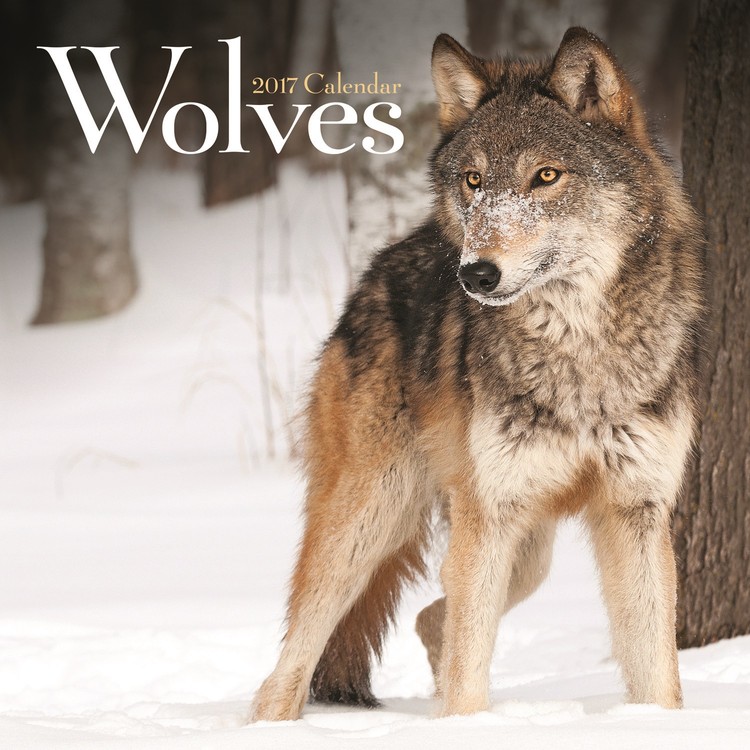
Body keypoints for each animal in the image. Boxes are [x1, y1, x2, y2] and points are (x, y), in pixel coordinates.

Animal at [251, 28, 705, 721]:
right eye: (473, 181)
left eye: (546, 176)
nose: (475, 273)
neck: (579, 355)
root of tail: (380, 267)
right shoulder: (491, 511)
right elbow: (470, 675)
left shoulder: (636, 512)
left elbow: (658, 677)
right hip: (375, 518)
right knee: (288, 667)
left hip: (522, 549)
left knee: (432, 617)